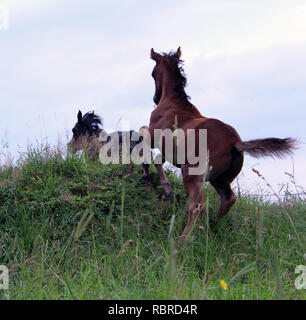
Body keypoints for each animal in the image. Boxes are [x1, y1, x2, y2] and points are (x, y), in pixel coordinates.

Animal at [143, 47, 296, 242]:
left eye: (153, 73)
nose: (155, 98)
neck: (173, 103)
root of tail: (235, 143)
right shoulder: (168, 149)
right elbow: (157, 159)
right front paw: (165, 186)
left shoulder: (154, 134)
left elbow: (144, 140)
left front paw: (156, 179)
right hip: (219, 179)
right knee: (227, 200)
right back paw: (212, 227)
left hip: (192, 174)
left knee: (198, 206)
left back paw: (183, 239)